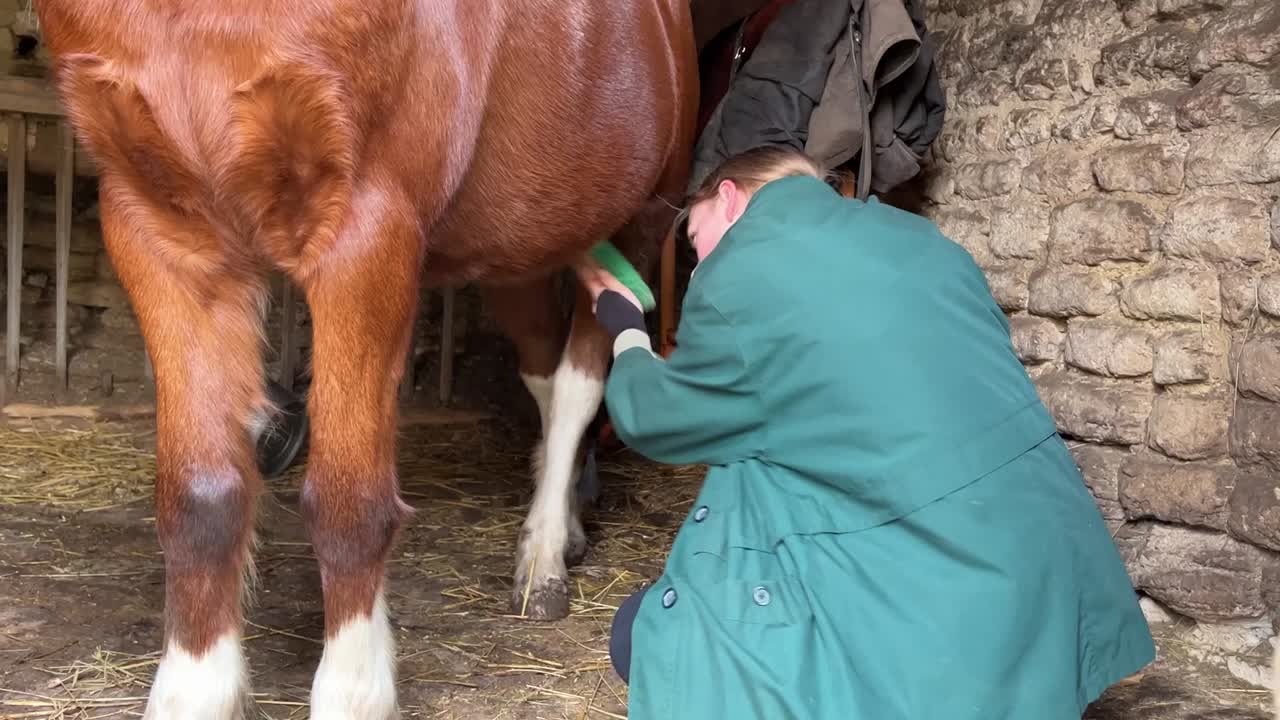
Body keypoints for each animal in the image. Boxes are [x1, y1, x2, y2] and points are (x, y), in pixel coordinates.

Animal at [33, 1, 698, 717]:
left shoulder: (366, 232)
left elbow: (348, 504)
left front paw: (355, 690)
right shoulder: (158, 231)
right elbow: (200, 497)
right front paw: (195, 692)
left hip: (640, 222)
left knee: (580, 384)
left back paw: (543, 563)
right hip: (522, 244)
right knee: (547, 378)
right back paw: (563, 528)